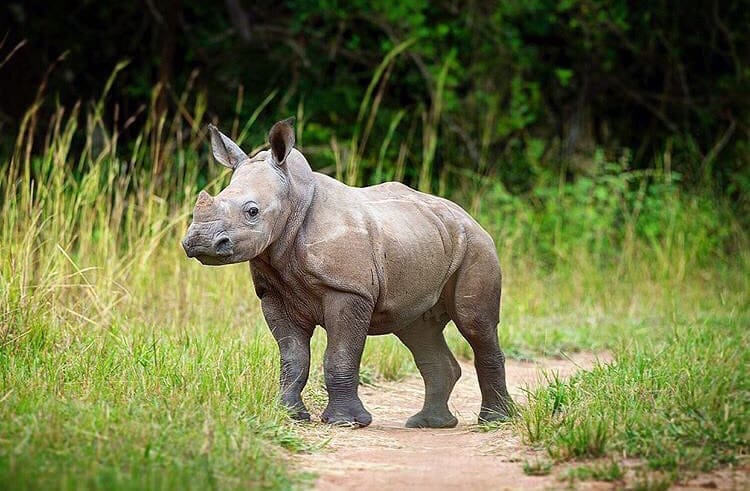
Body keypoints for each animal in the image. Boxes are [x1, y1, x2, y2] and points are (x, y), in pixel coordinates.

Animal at [182, 118, 512, 428]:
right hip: (426, 239)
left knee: (475, 323)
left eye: (252, 212)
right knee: (417, 328)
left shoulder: (348, 290)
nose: (200, 240)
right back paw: (428, 423)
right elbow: (293, 358)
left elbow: (339, 355)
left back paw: (494, 420)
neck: (293, 199)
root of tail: (468, 216)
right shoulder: (273, 293)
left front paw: (346, 421)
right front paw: (289, 414)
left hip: (476, 245)